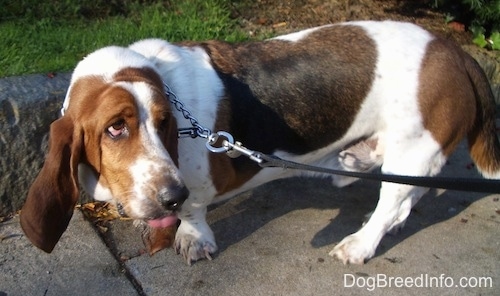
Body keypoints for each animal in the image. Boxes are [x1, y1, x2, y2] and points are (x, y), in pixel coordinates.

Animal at [19, 21, 500, 266]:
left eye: (164, 122)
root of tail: (457, 52)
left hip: (413, 149)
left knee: (392, 202)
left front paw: (192, 236)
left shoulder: (194, 185)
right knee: (409, 195)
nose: (170, 196)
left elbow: (195, 209)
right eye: (116, 128)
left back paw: (360, 244)